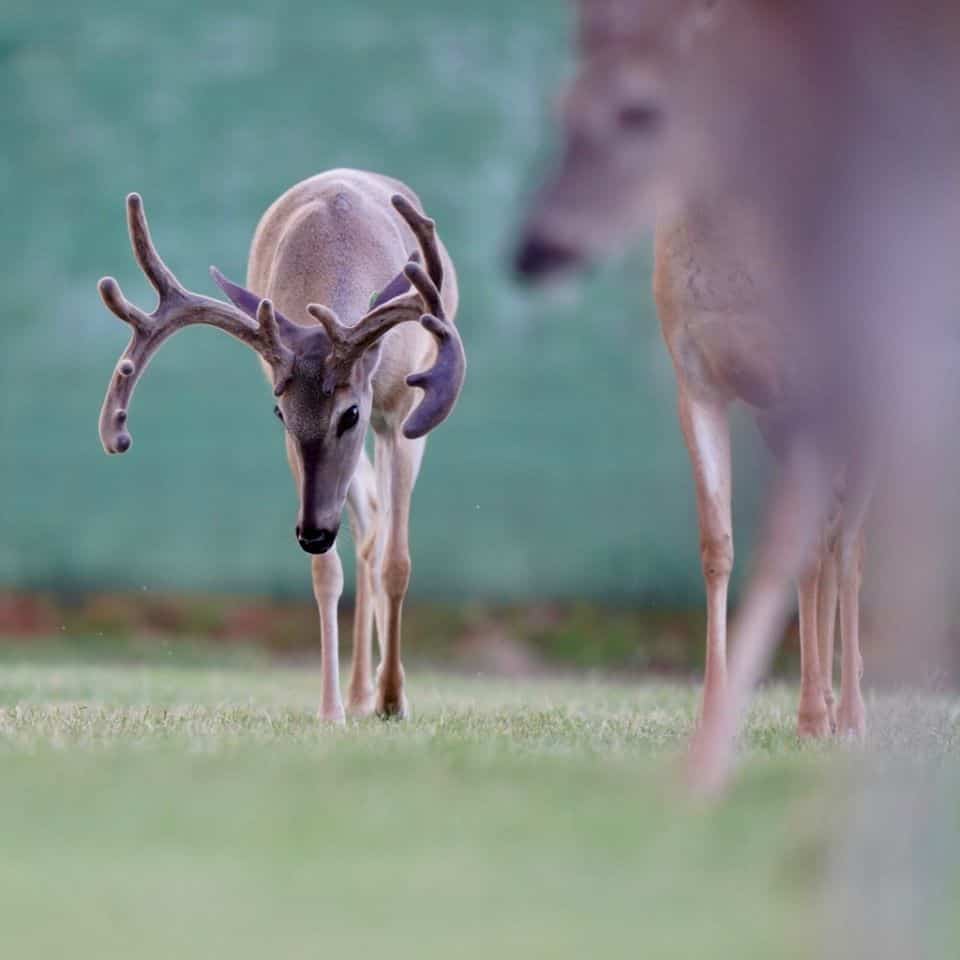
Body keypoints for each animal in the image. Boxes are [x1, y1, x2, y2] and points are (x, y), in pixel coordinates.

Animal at [96, 169, 465, 724]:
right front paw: (332, 708)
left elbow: (398, 563)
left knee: (379, 535)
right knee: (367, 526)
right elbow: (327, 570)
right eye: (280, 414)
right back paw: (358, 692)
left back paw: (376, 690)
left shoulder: (400, 415)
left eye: (349, 413)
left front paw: (394, 699)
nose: (311, 532)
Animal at [513, 0, 873, 765]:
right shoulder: (698, 378)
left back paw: (850, 712)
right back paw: (824, 706)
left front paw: (819, 717)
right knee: (828, 540)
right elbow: (719, 543)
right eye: (562, 105)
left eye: (641, 110)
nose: (540, 247)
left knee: (850, 541)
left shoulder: (811, 390)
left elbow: (812, 544)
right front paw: (713, 714)